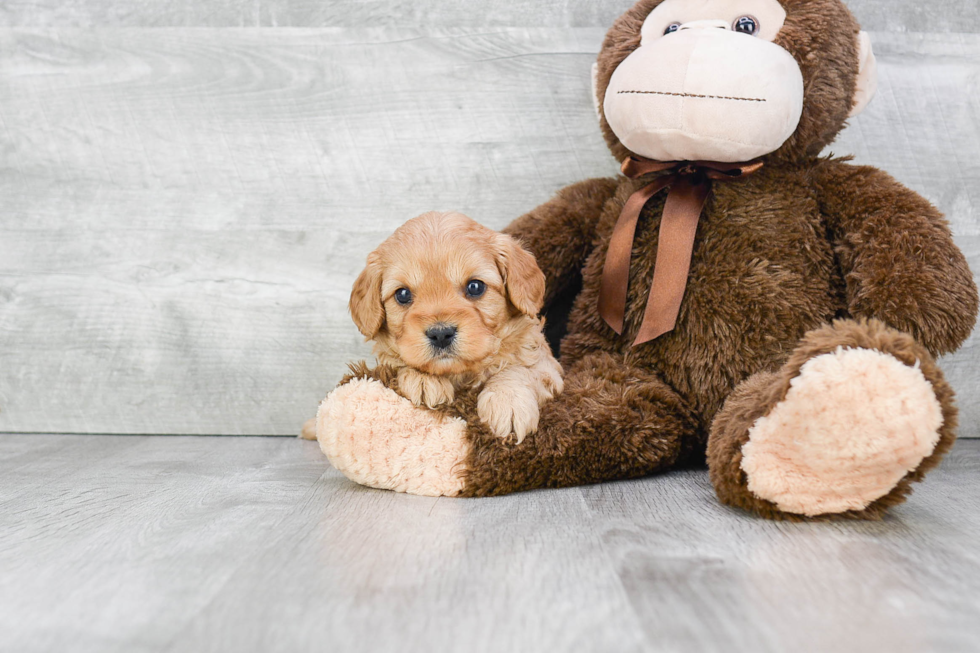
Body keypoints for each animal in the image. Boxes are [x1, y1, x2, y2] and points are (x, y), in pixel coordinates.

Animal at [346, 211, 564, 440]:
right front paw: (424, 379)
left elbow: (520, 368)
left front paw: (507, 400)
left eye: (475, 286)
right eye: (402, 294)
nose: (440, 334)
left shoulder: (547, 367)